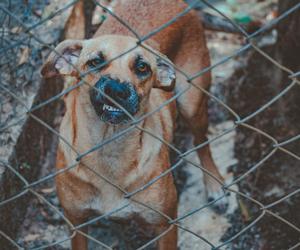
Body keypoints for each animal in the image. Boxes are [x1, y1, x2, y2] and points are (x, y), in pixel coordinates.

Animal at [41, 0, 227, 249]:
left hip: (192, 102)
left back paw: (214, 185)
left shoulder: (166, 225)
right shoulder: (76, 224)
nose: (116, 90)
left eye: (142, 67)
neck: (109, 147)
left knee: (202, 142)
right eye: (95, 61)